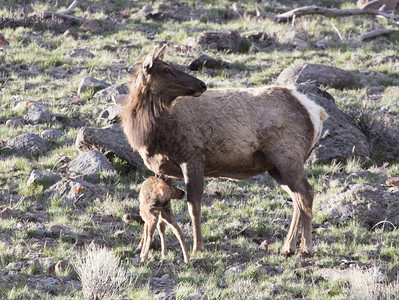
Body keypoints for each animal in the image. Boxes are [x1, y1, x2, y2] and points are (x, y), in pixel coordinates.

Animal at [122, 44, 328, 258]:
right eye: (166, 69)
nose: (202, 85)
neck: (150, 133)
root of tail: (316, 112)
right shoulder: (161, 168)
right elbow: (156, 206)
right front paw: (141, 247)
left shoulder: (192, 156)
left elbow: (194, 205)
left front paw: (197, 247)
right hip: (275, 166)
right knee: (297, 198)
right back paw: (288, 247)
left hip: (289, 157)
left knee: (306, 193)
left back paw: (305, 248)